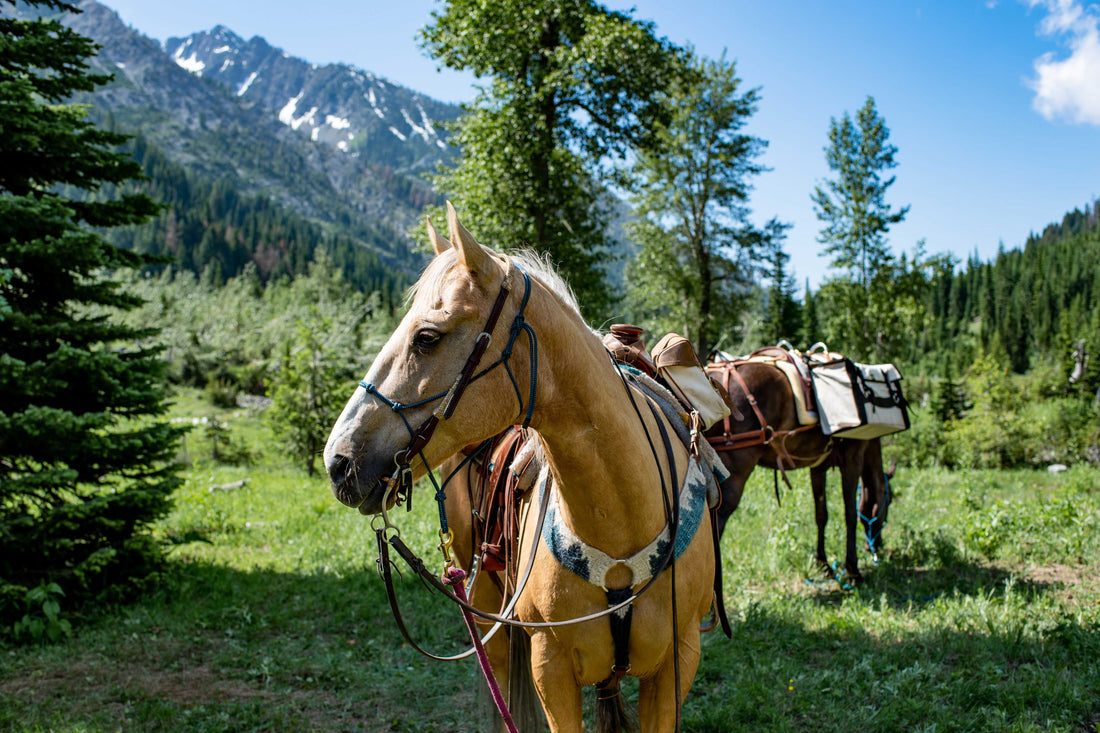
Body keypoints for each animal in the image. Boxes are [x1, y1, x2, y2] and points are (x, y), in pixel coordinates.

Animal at [324, 203, 717, 732]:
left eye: (427, 337)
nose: (338, 460)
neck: (624, 515)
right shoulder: (549, 667)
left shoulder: (677, 664)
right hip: (486, 611)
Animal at [704, 357, 895, 585]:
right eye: (889, 500)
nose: (877, 545)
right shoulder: (853, 458)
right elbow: (850, 513)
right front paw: (853, 569)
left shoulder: (817, 466)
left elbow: (821, 514)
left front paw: (823, 563)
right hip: (735, 477)